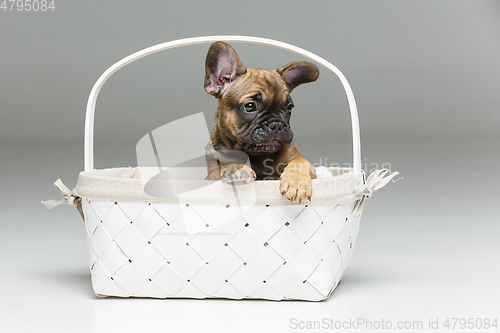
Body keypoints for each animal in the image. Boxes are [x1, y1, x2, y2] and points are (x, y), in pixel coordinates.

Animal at [205, 41, 318, 202]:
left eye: (289, 107)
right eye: (250, 106)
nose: (277, 124)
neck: (255, 155)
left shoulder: (300, 159)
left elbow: (299, 163)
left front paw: (297, 183)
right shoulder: (209, 175)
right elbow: (222, 168)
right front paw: (235, 167)